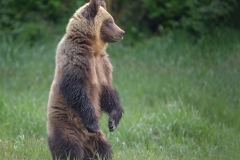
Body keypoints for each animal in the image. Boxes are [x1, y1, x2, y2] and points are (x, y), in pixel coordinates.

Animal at [47, 0, 124, 159]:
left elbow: (108, 92)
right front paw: (93, 123)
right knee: (68, 148)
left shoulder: (102, 66)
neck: (92, 49)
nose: (122, 32)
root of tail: (84, 141)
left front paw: (113, 121)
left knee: (104, 149)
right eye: (109, 21)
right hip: (65, 125)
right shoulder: (76, 60)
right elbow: (78, 91)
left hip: (97, 140)